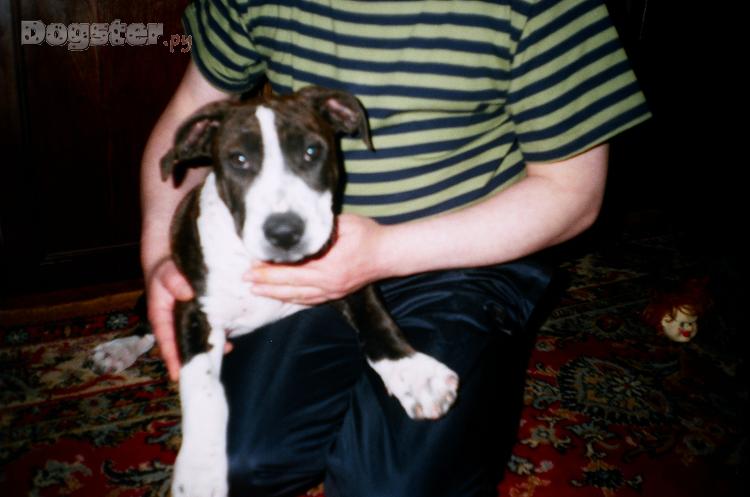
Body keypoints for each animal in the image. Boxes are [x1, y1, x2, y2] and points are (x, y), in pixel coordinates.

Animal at [92, 86, 459, 497]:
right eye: (238, 160)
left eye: (312, 152)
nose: (285, 232)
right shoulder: (193, 310)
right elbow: (203, 390)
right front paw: (201, 470)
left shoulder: (343, 272)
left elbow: (376, 322)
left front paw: (416, 375)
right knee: (146, 318)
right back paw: (119, 348)